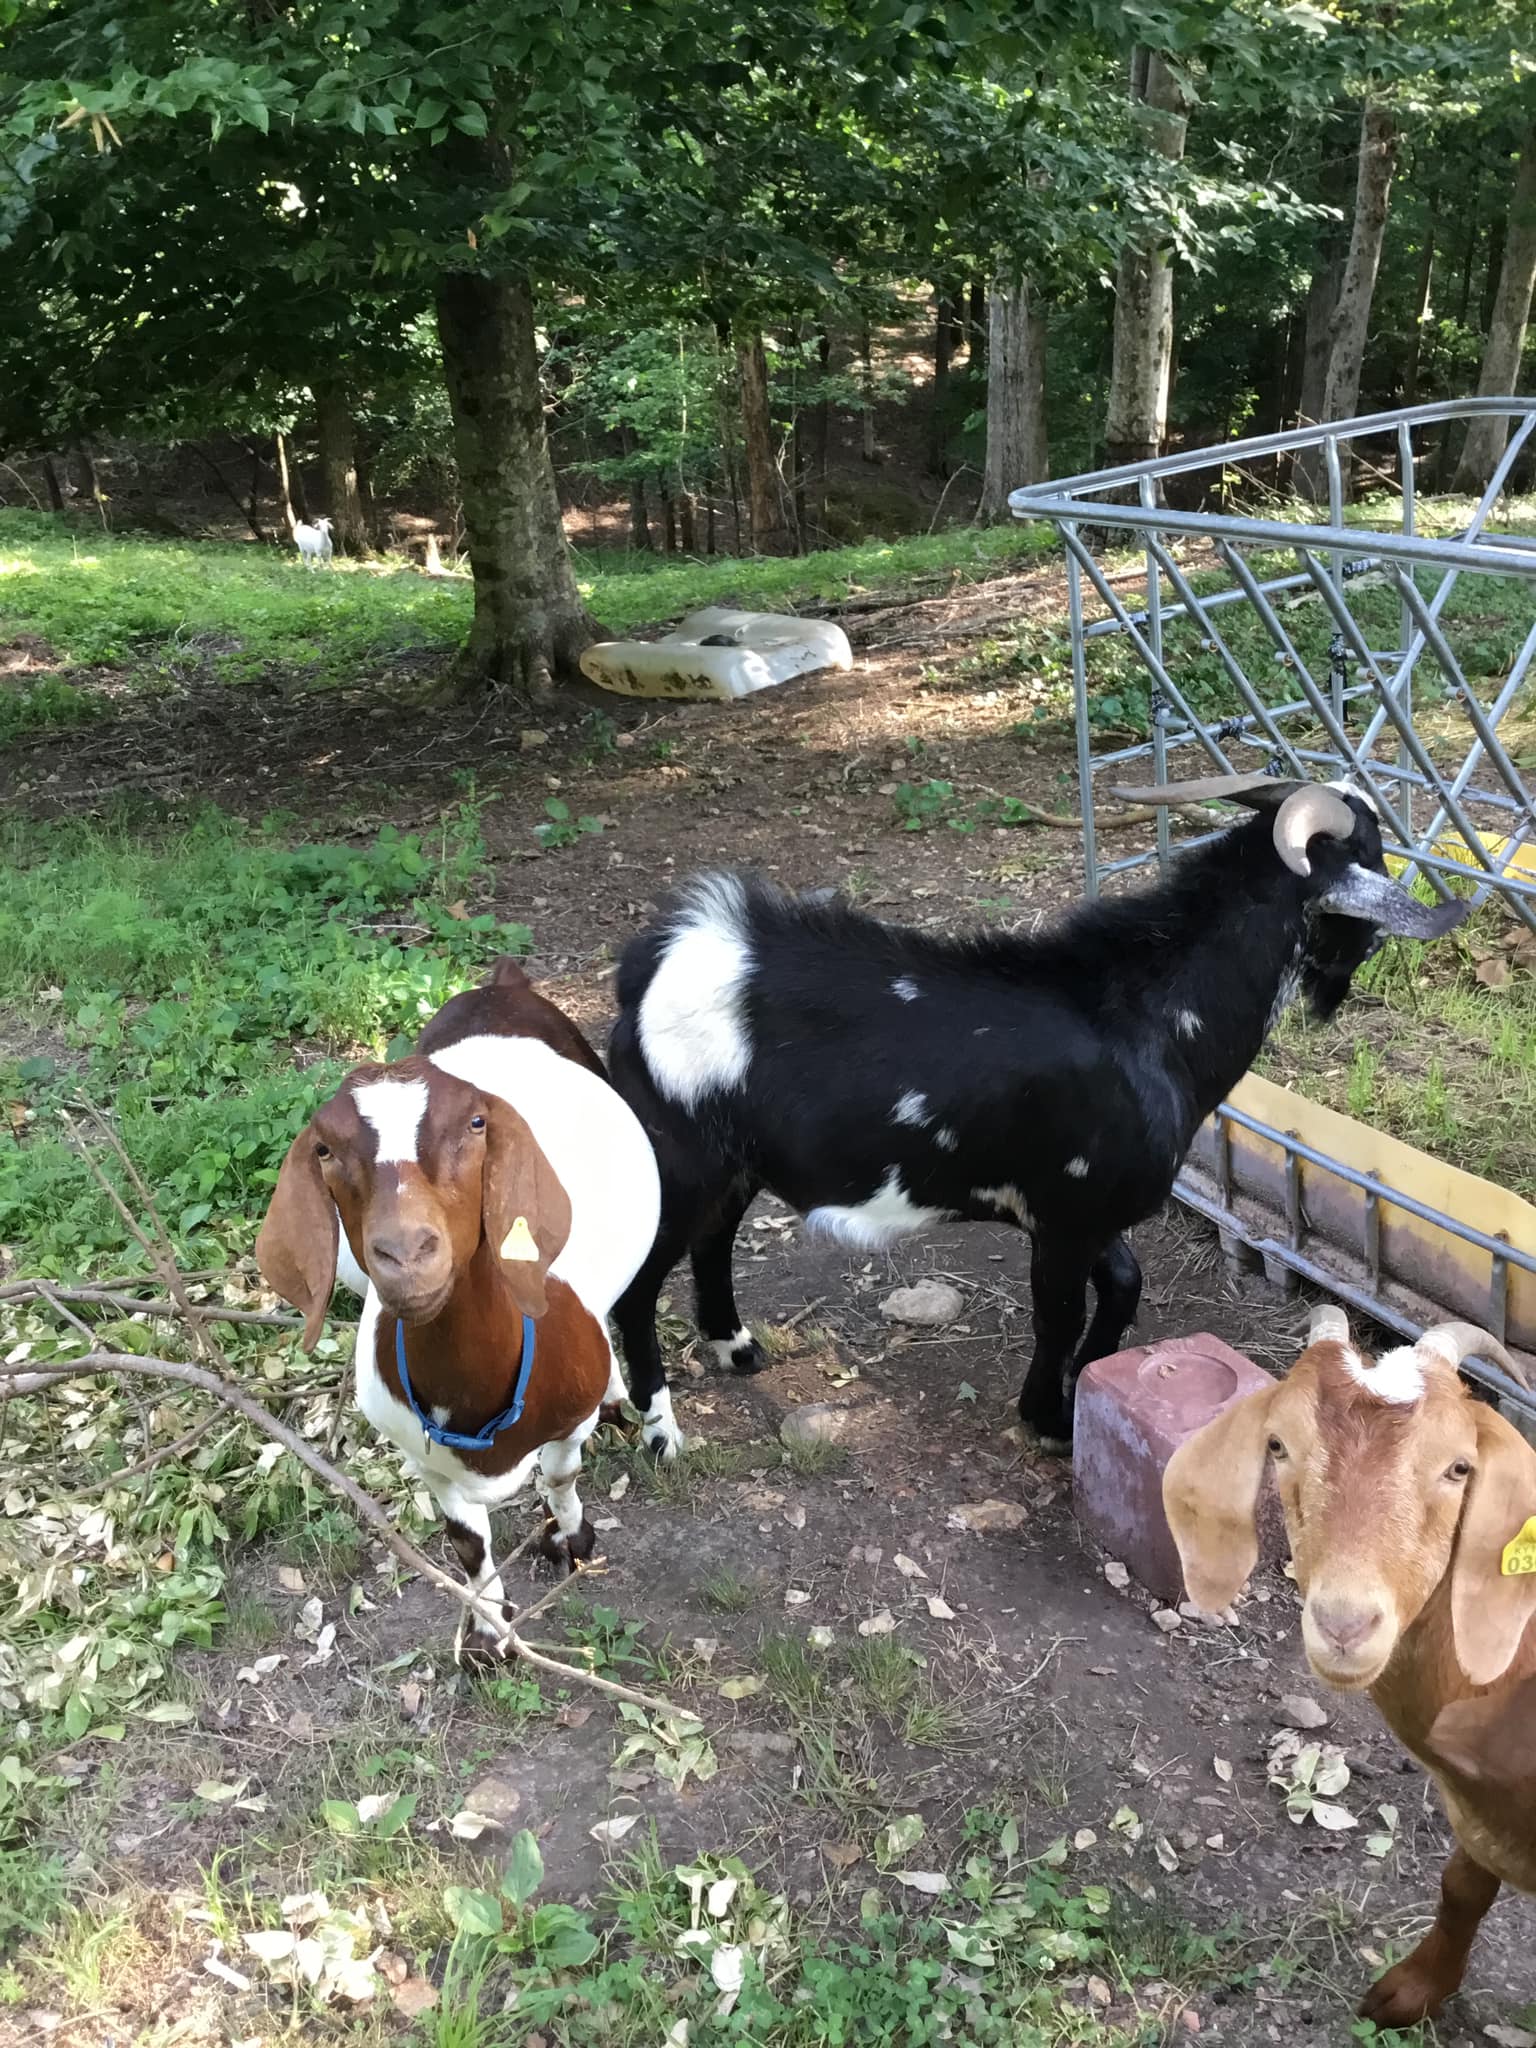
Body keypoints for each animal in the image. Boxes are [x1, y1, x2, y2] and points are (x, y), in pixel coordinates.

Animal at [256, 956, 660, 1653]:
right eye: (325, 1149)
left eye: (476, 1124)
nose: (407, 1251)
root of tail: (504, 983)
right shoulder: (426, 1463)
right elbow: (466, 1543)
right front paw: (488, 1634)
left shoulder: (567, 1426)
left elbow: (560, 1477)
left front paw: (571, 1538)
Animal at [606, 773, 1467, 1451]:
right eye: (1373, 855)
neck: (1147, 1015)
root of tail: (657, 964)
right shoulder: (1063, 1216)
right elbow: (1056, 1312)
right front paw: (1048, 1419)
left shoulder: (1088, 1213)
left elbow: (1123, 1283)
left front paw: (1089, 1377)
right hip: (675, 1156)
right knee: (635, 1285)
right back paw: (660, 1431)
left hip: (733, 1159)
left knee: (714, 1238)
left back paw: (734, 1348)